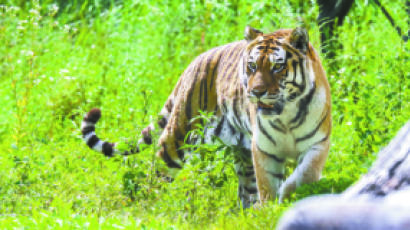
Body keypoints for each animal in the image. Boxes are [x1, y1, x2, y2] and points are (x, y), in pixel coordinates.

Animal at [81, 26, 332, 208]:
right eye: (252, 66)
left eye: (277, 67)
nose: (256, 92)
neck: (286, 114)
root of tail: (193, 63)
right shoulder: (264, 149)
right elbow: (268, 185)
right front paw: (272, 208)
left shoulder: (318, 143)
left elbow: (305, 174)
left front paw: (286, 195)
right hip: (178, 139)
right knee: (156, 174)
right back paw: (149, 206)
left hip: (240, 152)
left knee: (246, 190)